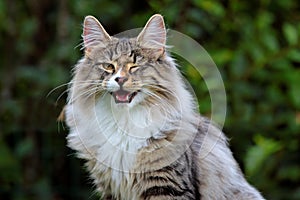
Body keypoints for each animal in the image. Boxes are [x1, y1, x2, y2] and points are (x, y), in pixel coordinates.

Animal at [63, 14, 264, 200]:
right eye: (109, 66)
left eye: (134, 66)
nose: (119, 79)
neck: (124, 121)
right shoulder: (110, 188)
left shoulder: (167, 184)